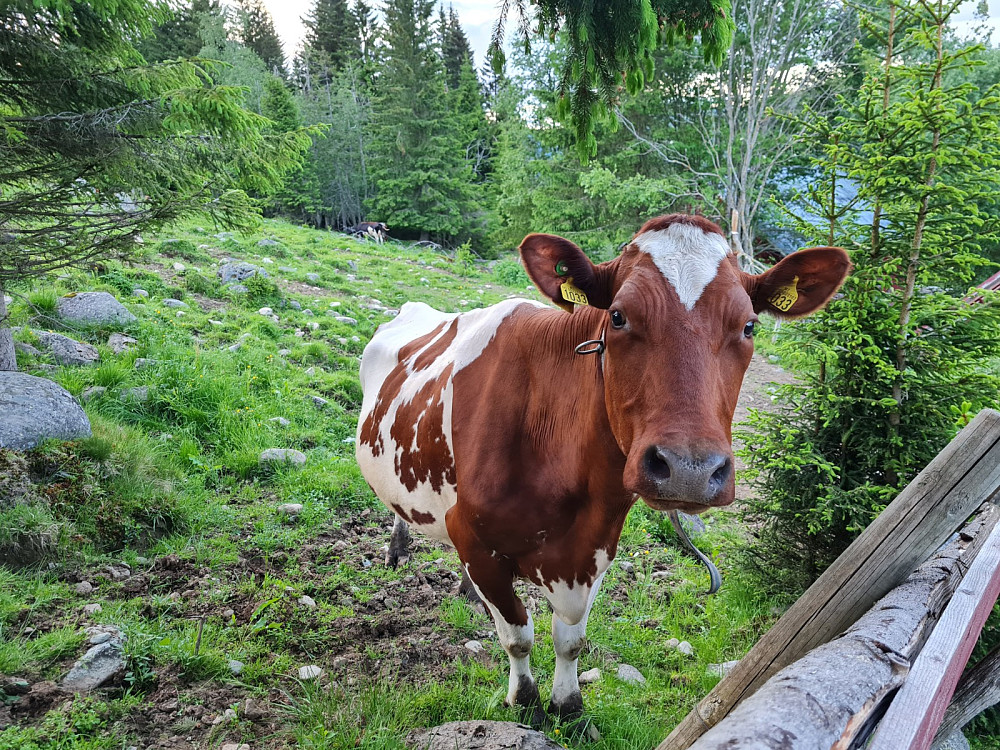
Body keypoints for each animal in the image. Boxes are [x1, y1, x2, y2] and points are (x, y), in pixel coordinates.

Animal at [356, 214, 848, 724]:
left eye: (749, 325)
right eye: (618, 316)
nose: (689, 468)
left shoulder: (595, 546)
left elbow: (570, 639)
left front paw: (567, 704)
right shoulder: (473, 536)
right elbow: (518, 634)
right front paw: (525, 700)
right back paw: (397, 551)